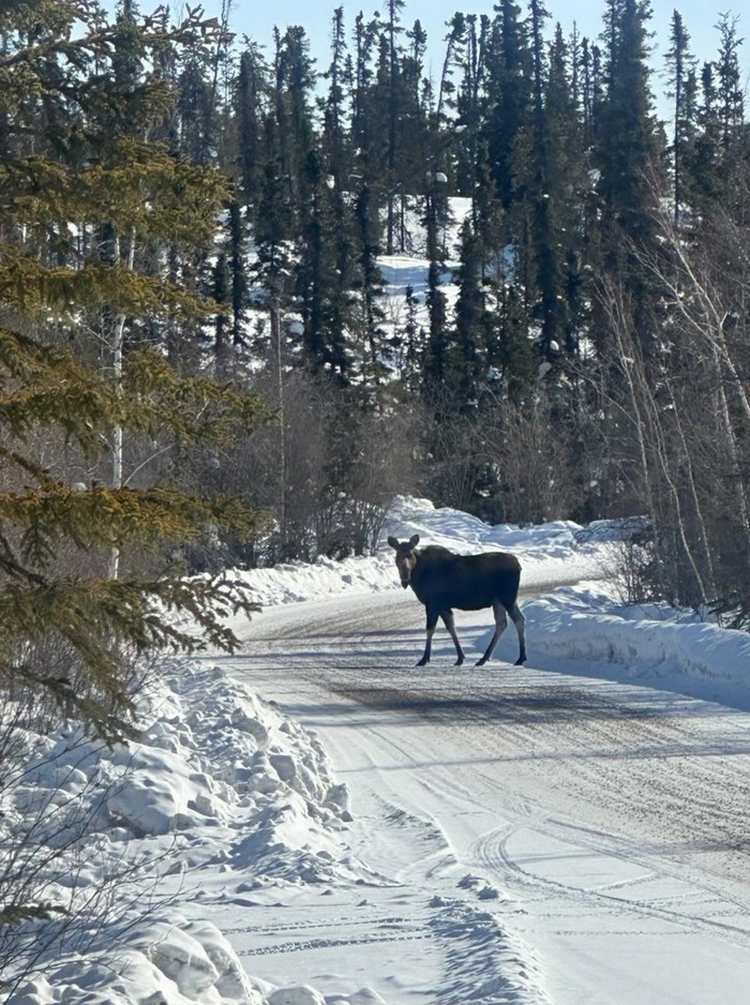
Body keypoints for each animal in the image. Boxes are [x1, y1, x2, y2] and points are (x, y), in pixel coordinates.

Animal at [387, 534, 526, 668]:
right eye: (397, 555)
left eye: (410, 554)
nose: (405, 577)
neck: (419, 577)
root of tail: (519, 566)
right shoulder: (443, 606)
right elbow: (451, 627)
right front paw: (460, 658)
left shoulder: (433, 604)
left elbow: (430, 629)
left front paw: (424, 659)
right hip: (498, 601)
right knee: (502, 623)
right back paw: (484, 659)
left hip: (507, 597)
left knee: (518, 620)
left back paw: (520, 658)